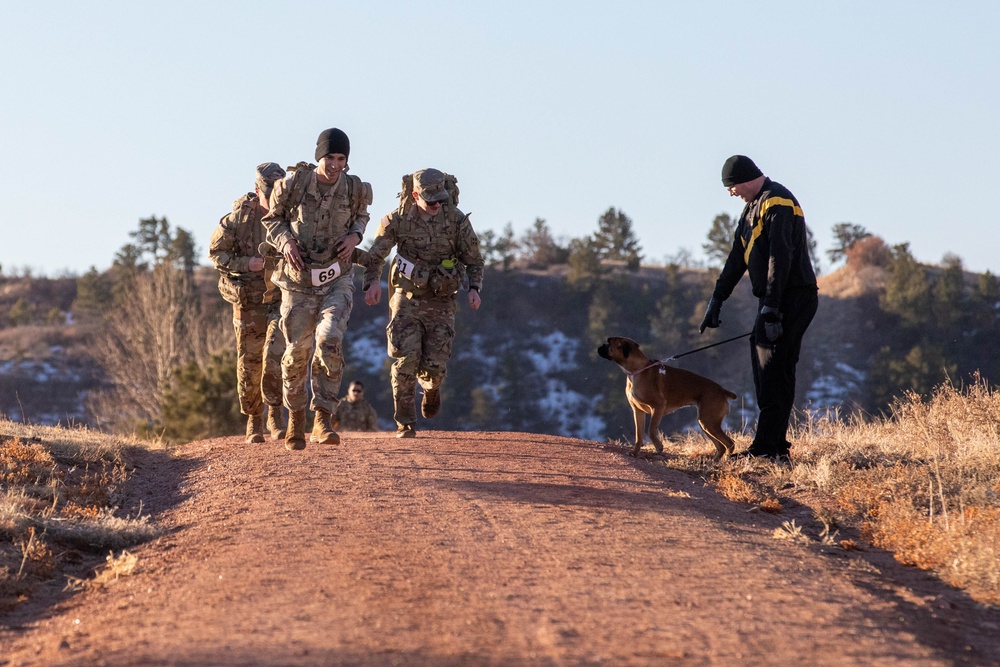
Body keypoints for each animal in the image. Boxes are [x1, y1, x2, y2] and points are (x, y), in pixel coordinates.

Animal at [596, 334, 740, 460]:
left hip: (709, 421)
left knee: (729, 443)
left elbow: (651, 430)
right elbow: (639, 435)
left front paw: (659, 447)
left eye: (609, 342)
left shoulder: (657, 407)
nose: (599, 346)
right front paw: (635, 453)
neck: (638, 370)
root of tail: (722, 390)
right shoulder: (638, 411)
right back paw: (714, 462)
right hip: (706, 423)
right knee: (721, 446)